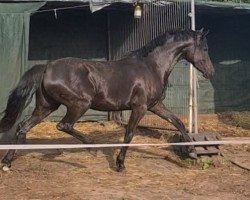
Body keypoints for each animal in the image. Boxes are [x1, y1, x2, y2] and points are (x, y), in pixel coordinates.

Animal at [0, 28, 214, 171]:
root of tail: (46, 67)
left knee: (23, 127)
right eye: (204, 48)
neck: (151, 67)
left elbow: (177, 122)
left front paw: (192, 153)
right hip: (80, 104)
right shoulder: (140, 107)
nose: (210, 72)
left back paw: (8, 162)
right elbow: (129, 133)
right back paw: (91, 146)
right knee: (63, 125)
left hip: (46, 107)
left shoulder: (155, 106)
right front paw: (120, 164)